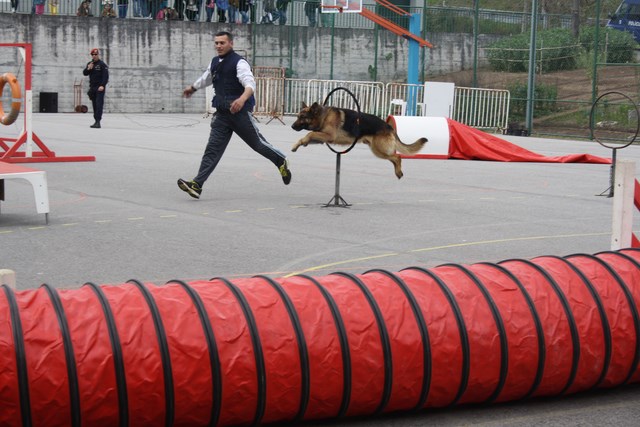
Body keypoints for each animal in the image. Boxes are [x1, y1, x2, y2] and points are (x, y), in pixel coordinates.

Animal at [292, 102, 428, 179]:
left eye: (302, 117)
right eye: (298, 116)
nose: (292, 126)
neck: (323, 116)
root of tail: (389, 126)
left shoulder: (329, 136)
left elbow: (310, 132)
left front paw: (301, 142)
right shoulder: (321, 137)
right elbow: (308, 135)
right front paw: (298, 144)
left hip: (379, 149)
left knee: (397, 157)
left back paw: (398, 172)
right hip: (378, 150)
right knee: (394, 158)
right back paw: (398, 172)